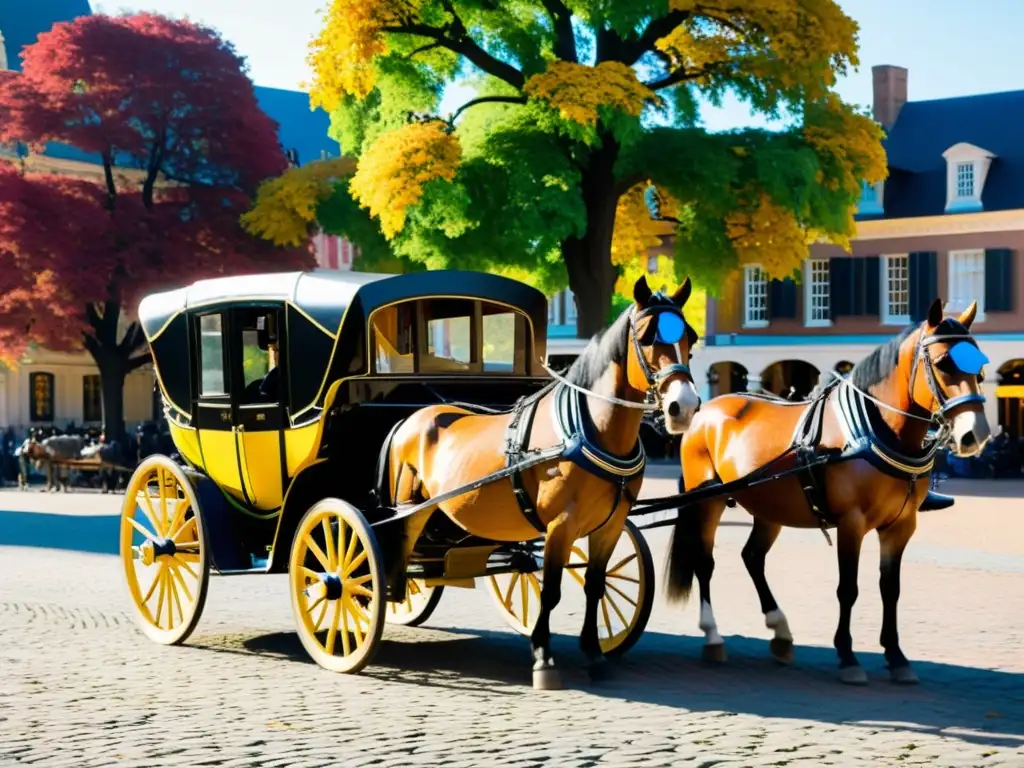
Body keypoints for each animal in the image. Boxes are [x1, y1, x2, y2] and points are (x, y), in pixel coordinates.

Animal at [387, 276, 700, 692]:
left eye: (691, 338)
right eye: (648, 336)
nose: (685, 406)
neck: (592, 430)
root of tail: (413, 417)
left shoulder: (611, 525)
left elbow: (595, 585)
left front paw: (594, 653)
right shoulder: (560, 526)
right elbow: (551, 592)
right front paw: (543, 658)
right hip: (409, 510)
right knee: (394, 552)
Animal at [663, 299, 991, 684]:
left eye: (980, 366)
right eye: (942, 364)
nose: (975, 434)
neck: (873, 430)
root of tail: (705, 410)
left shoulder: (900, 526)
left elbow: (890, 590)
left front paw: (896, 656)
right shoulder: (852, 523)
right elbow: (848, 589)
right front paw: (848, 656)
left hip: (769, 507)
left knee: (753, 557)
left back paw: (780, 630)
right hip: (708, 500)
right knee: (705, 561)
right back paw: (713, 636)